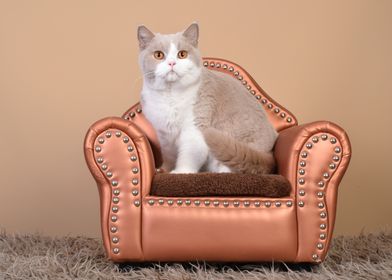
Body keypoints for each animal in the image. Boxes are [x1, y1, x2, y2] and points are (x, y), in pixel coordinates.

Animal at [138, 23, 278, 174]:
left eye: (182, 54)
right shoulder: (164, 135)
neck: (170, 95)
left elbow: (189, 155)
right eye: (158, 55)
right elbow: (168, 157)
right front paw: (164, 170)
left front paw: (181, 171)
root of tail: (269, 155)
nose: (171, 63)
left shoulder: (195, 128)